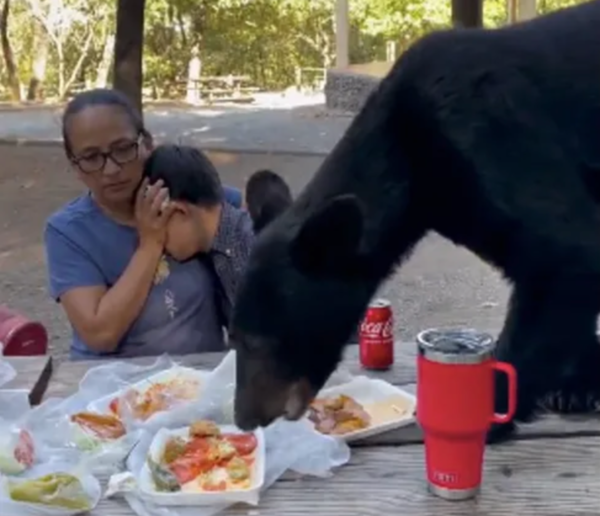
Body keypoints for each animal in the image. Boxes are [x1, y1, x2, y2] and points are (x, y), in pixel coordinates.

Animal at [227, 1, 600, 444]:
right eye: (234, 336)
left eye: (259, 340)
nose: (244, 418)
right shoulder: (462, 202)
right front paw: (574, 381)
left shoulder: (491, 133)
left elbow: (566, 252)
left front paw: (487, 411)